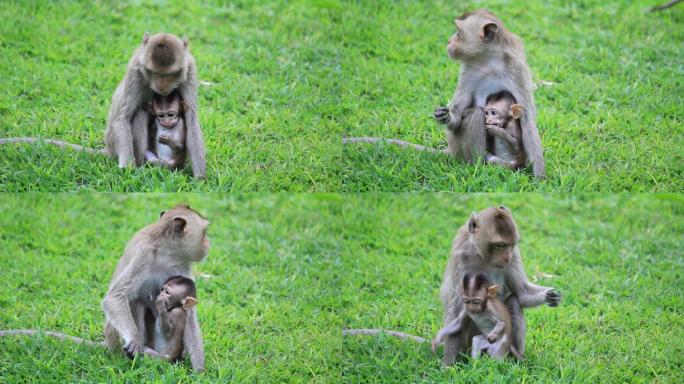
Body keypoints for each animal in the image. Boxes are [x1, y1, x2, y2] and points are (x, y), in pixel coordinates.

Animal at [103, 206, 210, 370]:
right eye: (204, 233)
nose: (208, 244)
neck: (166, 252)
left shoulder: (182, 265)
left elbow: (188, 308)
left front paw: (199, 370)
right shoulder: (144, 255)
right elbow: (116, 297)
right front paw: (134, 339)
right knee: (136, 301)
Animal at [104, 31, 206, 178]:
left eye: (169, 74)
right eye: (155, 73)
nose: (161, 86)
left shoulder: (190, 70)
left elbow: (191, 118)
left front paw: (200, 178)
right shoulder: (135, 70)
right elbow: (122, 116)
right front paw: (128, 168)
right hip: (113, 143)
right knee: (141, 112)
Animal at [432, 8, 544, 177]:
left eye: (458, 32)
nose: (449, 41)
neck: (490, 60)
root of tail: (451, 151)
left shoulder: (517, 69)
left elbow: (527, 117)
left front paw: (540, 177)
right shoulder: (468, 70)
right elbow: (457, 118)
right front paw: (448, 117)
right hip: (459, 150)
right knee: (477, 112)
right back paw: (478, 166)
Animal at [438, 206, 560, 364]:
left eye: (511, 245)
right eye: (500, 245)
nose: (507, 257)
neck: (483, 256)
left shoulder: (514, 256)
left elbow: (521, 292)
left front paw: (549, 296)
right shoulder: (460, 256)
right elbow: (455, 307)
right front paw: (448, 364)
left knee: (514, 301)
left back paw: (513, 358)